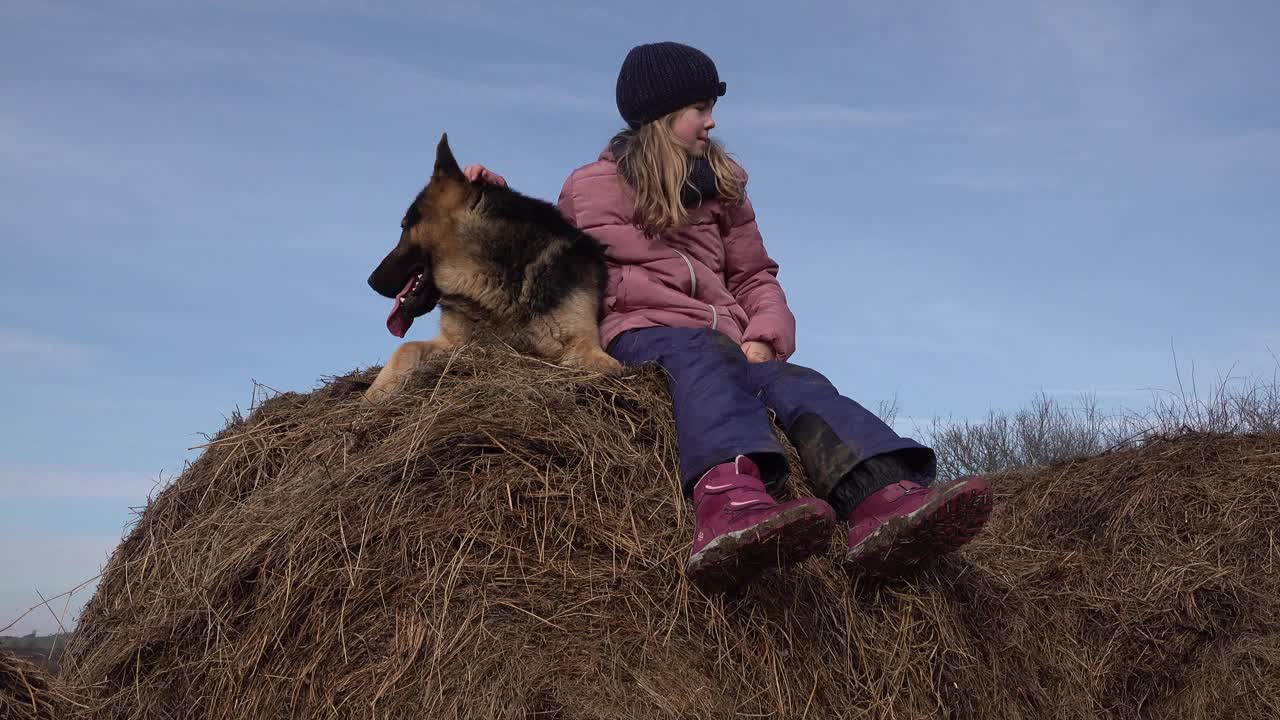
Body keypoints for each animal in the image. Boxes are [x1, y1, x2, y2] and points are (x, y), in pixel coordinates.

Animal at [363, 133, 622, 404]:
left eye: (403, 227)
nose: (371, 281)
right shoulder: (452, 343)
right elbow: (405, 347)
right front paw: (375, 394)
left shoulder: (586, 345)